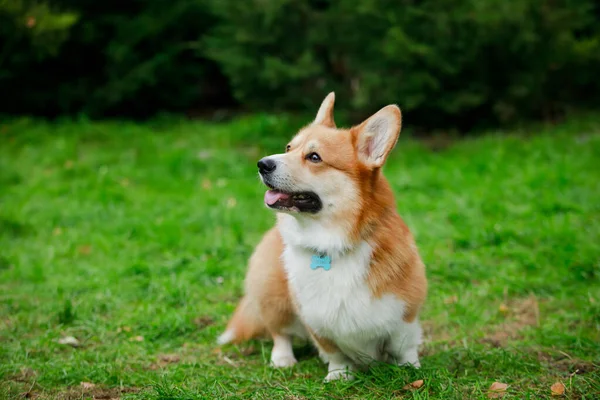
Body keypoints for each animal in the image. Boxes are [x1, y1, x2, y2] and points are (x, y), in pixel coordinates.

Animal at [218, 93, 428, 382]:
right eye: (289, 147)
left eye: (314, 157)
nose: (262, 164)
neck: (332, 243)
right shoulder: (316, 319)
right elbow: (334, 352)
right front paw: (339, 376)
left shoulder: (405, 314)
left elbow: (404, 346)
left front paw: (411, 370)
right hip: (272, 295)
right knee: (279, 333)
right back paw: (282, 359)